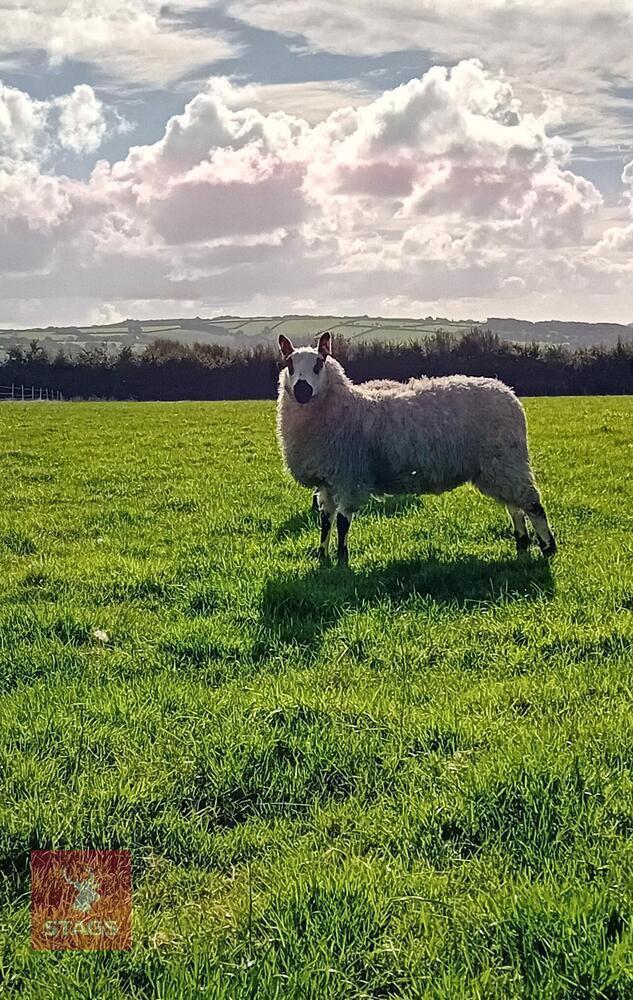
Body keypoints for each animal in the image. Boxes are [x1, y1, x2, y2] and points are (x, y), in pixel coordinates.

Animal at [277, 331, 557, 565]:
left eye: (319, 363)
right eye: (289, 364)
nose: (302, 390)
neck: (347, 406)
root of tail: (507, 391)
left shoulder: (349, 478)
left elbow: (344, 522)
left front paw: (342, 559)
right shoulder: (327, 481)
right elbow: (325, 521)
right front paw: (322, 556)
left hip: (506, 460)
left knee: (532, 503)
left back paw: (548, 547)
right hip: (497, 467)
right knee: (514, 505)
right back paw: (522, 544)